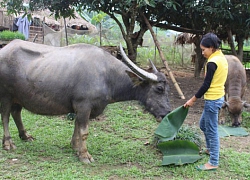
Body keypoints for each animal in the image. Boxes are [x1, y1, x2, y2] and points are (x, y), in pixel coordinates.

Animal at [0, 40, 171, 164]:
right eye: (159, 88)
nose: (167, 113)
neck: (107, 76)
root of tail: (4, 49)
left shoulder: (79, 109)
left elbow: (77, 127)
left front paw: (75, 147)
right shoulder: (83, 106)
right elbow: (84, 131)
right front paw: (84, 155)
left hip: (19, 97)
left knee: (16, 113)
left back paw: (25, 136)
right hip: (6, 95)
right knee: (6, 116)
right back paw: (8, 143)